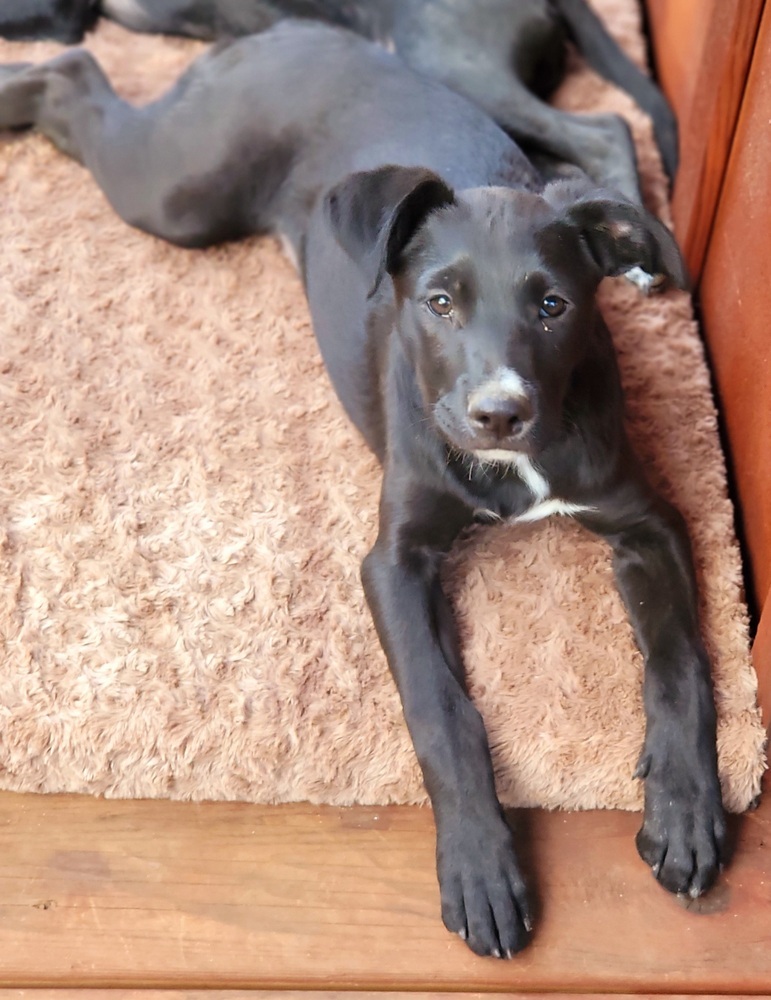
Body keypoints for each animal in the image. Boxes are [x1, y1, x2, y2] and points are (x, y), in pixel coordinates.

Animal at [0, 23, 724, 956]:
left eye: (554, 306)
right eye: (439, 302)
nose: (497, 414)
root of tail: (284, 29)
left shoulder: (647, 521)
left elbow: (679, 663)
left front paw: (685, 810)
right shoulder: (393, 559)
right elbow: (441, 711)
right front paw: (479, 864)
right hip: (177, 192)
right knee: (77, 72)